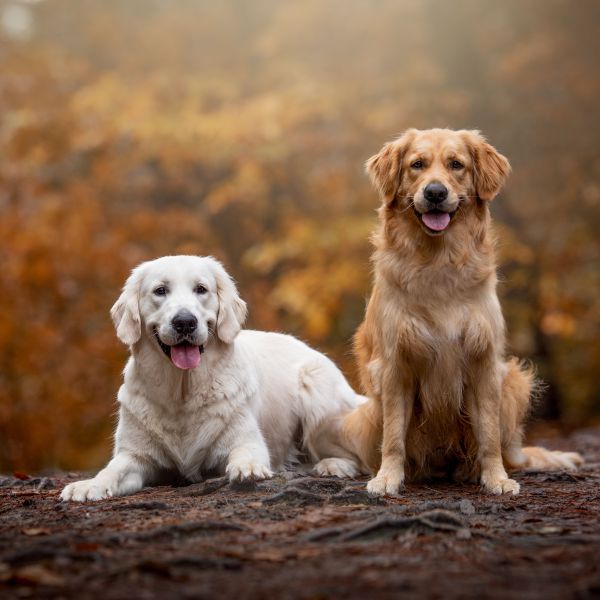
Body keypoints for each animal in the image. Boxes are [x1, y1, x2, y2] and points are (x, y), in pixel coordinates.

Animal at [61, 254, 366, 502]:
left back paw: (334, 465)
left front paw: (247, 468)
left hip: (316, 392)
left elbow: (246, 453)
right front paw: (88, 485)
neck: (182, 390)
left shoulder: (246, 440)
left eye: (201, 289)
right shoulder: (134, 455)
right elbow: (111, 470)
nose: (185, 322)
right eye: (160, 291)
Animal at [340, 127, 584, 496]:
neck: (437, 261)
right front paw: (387, 478)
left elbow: (489, 436)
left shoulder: (484, 362)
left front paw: (496, 478)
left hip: (513, 381)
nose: (435, 192)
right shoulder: (395, 365)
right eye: (417, 164)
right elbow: (394, 436)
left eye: (456, 165)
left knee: (511, 450)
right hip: (363, 417)